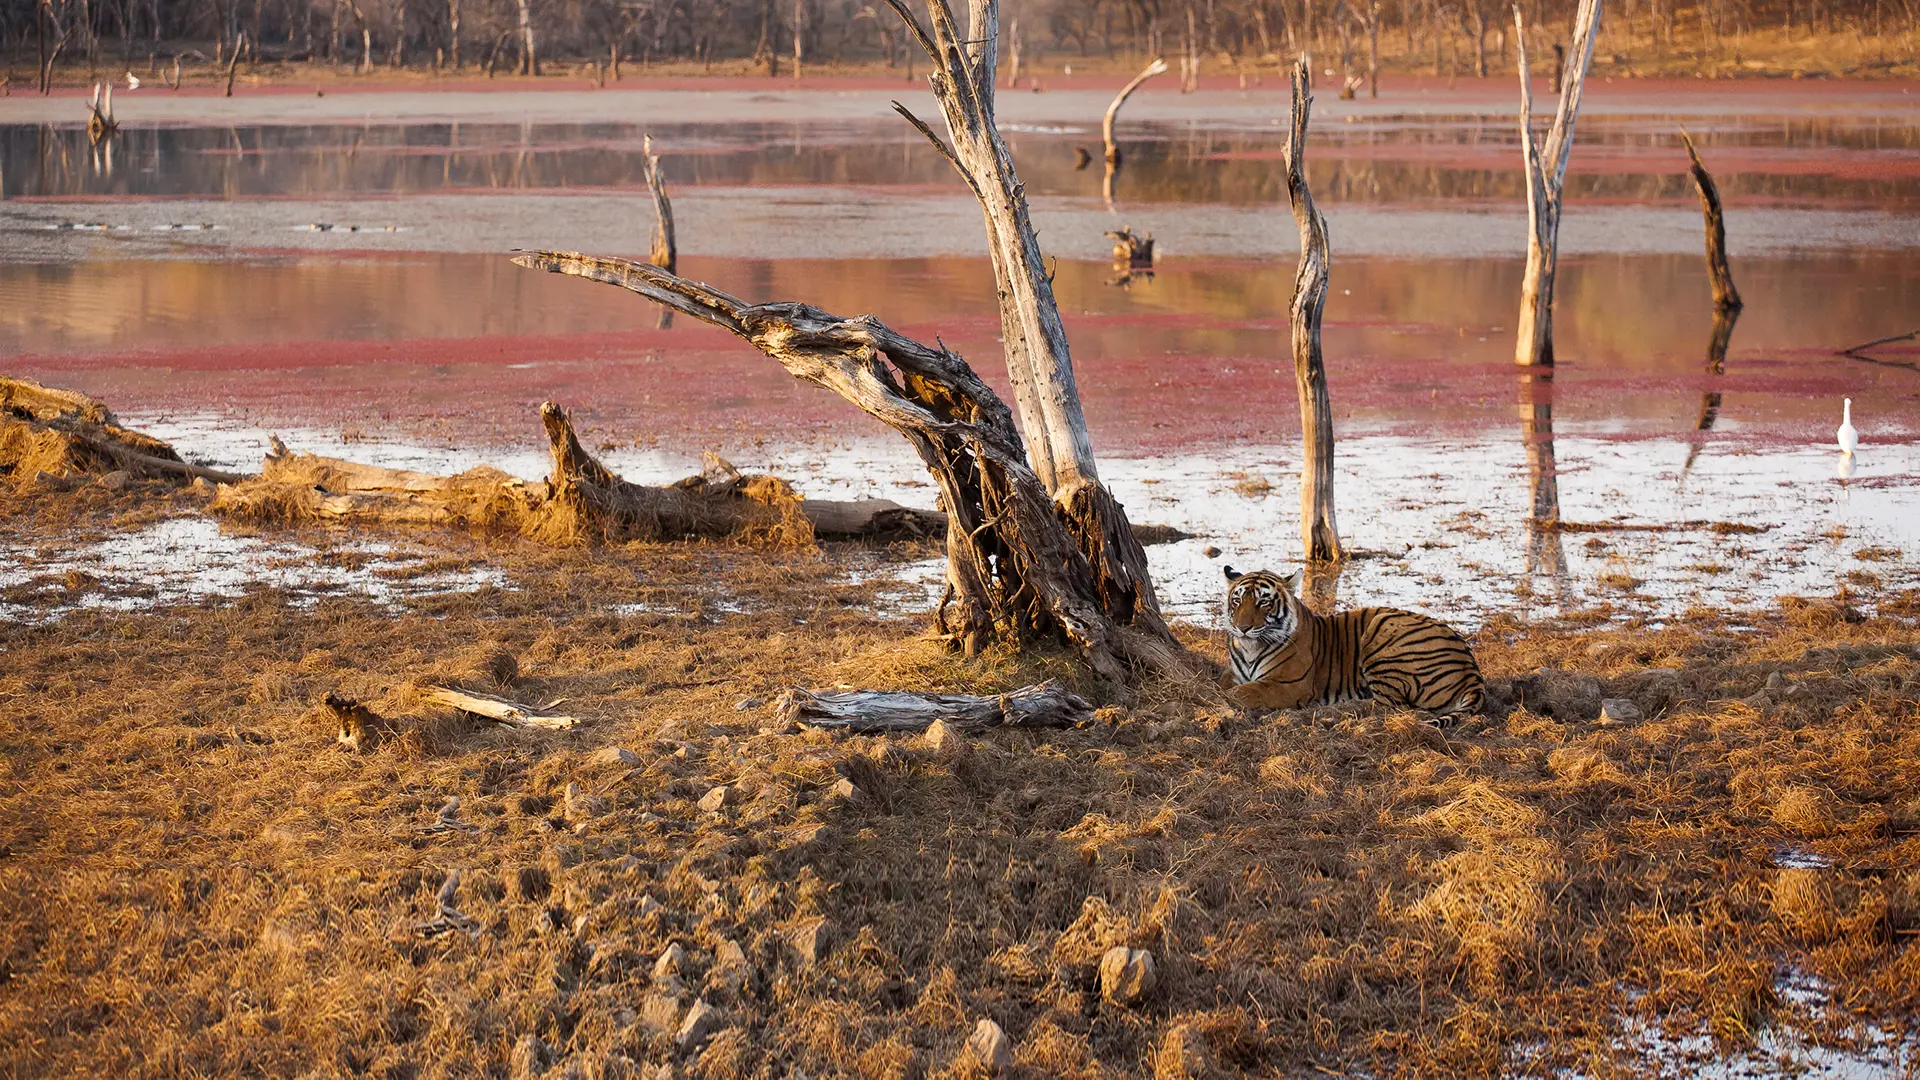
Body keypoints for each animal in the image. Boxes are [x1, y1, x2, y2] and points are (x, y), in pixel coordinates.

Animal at [1220, 566, 1484, 718]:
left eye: (1263, 602)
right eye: (1237, 601)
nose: (1242, 628)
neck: (1250, 647)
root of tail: (1473, 671)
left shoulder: (1290, 684)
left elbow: (1242, 692)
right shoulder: (1234, 672)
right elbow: (1222, 682)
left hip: (1382, 627)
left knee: (1391, 705)